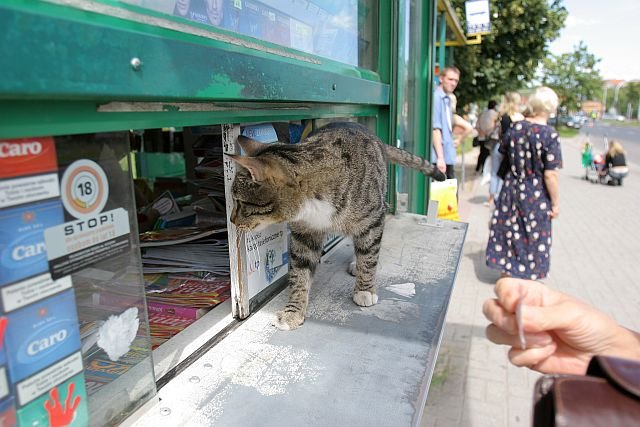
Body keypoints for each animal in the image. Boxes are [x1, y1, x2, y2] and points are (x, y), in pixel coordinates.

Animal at [229, 123, 444, 332]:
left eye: (239, 201)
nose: (231, 220)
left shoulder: (374, 218)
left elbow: (369, 256)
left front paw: (365, 289)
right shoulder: (305, 233)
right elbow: (300, 272)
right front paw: (294, 311)